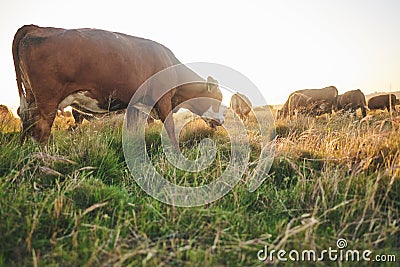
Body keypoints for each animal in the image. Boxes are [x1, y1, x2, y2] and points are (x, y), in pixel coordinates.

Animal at [12, 24, 225, 149]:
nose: (222, 120)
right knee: (42, 128)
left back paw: (23, 149)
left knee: (26, 119)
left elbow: (133, 130)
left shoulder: (138, 105)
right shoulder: (162, 99)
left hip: (31, 96)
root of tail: (37, 27)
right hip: (48, 99)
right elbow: (170, 127)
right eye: (218, 98)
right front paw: (175, 150)